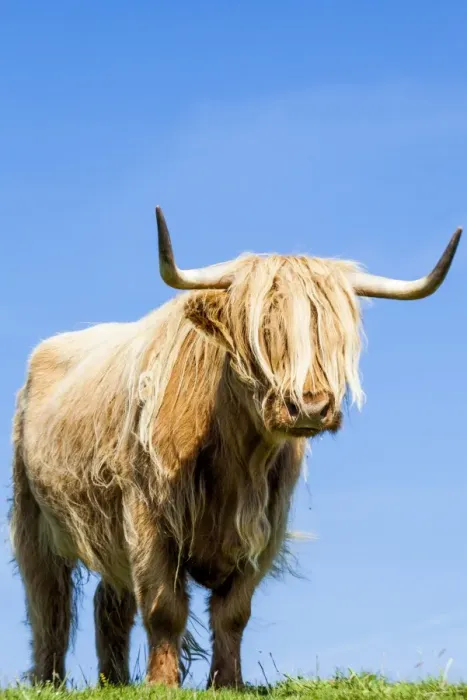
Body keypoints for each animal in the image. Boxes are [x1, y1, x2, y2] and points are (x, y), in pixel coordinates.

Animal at [9, 207, 462, 689]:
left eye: (332, 333)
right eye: (261, 330)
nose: (310, 406)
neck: (236, 461)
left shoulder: (264, 527)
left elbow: (232, 613)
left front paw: (227, 681)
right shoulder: (147, 516)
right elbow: (164, 607)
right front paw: (162, 684)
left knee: (107, 604)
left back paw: (115, 680)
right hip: (32, 515)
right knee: (48, 604)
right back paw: (48, 679)